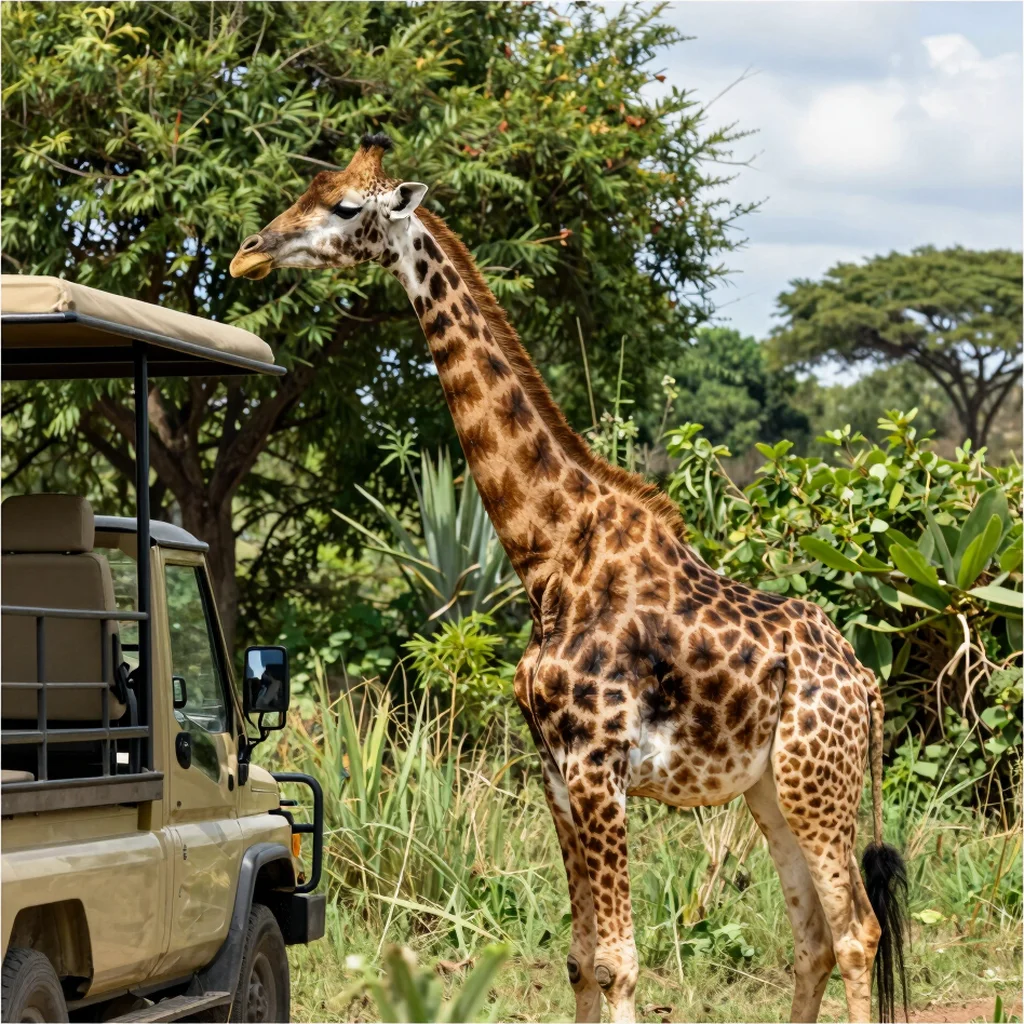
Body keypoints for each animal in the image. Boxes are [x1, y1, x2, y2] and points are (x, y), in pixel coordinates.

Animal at [230, 134, 909, 1024]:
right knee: (813, 937)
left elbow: (620, 962)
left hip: (815, 779)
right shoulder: (555, 768)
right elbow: (582, 958)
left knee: (858, 932)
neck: (550, 554)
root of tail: (863, 682)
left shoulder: (596, 763)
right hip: (769, 789)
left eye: (344, 207)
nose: (247, 253)